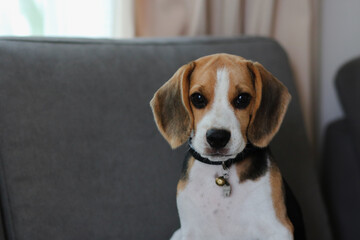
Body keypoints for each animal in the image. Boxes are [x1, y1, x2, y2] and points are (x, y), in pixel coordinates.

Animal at [150, 54, 306, 240]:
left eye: (242, 98)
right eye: (197, 98)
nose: (217, 137)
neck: (221, 169)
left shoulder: (278, 229)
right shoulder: (191, 231)